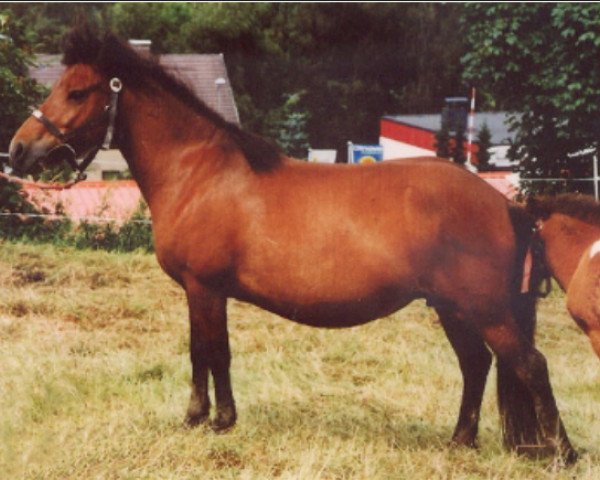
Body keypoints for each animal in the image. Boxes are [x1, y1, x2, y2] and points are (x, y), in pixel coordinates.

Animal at [8, 28, 576, 464]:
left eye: (78, 92)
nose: (18, 150)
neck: (198, 172)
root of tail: (506, 204)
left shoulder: (203, 287)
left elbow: (210, 352)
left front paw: (212, 420)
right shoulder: (202, 291)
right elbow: (206, 352)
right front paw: (206, 418)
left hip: (485, 309)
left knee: (531, 365)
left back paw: (563, 453)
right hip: (452, 308)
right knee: (477, 365)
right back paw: (459, 442)